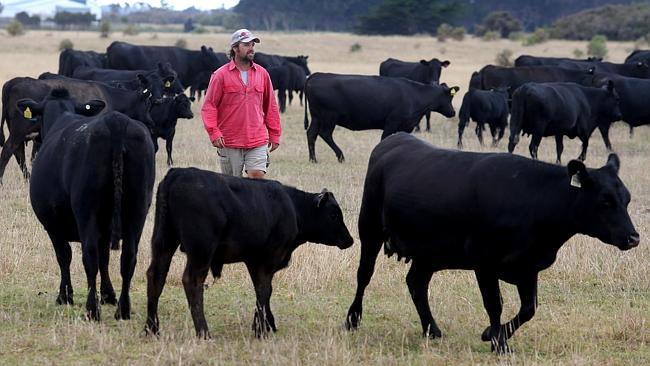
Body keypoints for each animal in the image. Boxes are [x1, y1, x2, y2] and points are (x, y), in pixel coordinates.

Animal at [0, 76, 153, 183]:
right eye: (147, 104)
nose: (150, 122)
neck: (109, 98)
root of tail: (14, 82)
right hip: (18, 131)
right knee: (8, 150)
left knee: (19, 154)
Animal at [17, 88, 154, 320]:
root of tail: (115, 120)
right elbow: (105, 258)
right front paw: (108, 295)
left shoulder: (53, 225)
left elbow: (64, 256)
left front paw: (65, 296)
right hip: (138, 209)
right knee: (128, 257)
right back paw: (123, 309)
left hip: (86, 210)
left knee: (89, 255)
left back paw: (92, 309)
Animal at [144, 168, 352, 338]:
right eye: (334, 215)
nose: (349, 240)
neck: (292, 207)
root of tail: (177, 173)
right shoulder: (269, 259)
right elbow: (265, 290)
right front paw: (261, 329)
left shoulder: (254, 260)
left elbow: (263, 290)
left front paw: (266, 324)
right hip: (200, 251)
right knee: (192, 282)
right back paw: (203, 332)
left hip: (163, 242)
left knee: (156, 276)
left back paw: (152, 329)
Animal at [302, 72, 456, 162]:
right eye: (450, 97)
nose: (453, 112)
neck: (415, 95)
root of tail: (316, 76)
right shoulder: (392, 123)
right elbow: (384, 139)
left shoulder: (405, 127)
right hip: (329, 117)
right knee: (325, 134)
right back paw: (340, 156)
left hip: (317, 117)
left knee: (311, 134)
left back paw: (313, 159)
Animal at [344, 133, 636, 354]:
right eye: (605, 201)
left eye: (627, 199)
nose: (634, 238)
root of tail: (394, 139)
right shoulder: (484, 261)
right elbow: (495, 303)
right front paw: (498, 343)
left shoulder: (528, 266)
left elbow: (529, 309)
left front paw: (492, 335)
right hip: (369, 230)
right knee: (364, 275)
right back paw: (352, 319)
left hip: (430, 253)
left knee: (416, 283)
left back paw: (431, 329)